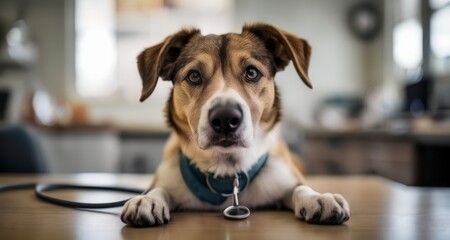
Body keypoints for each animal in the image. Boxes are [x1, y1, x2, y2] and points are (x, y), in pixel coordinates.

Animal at [120, 23, 352, 227]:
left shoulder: (282, 175)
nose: (225, 118)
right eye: (194, 75)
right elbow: (159, 189)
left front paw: (318, 198)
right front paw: (148, 199)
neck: (227, 171)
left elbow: (299, 188)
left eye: (252, 72)